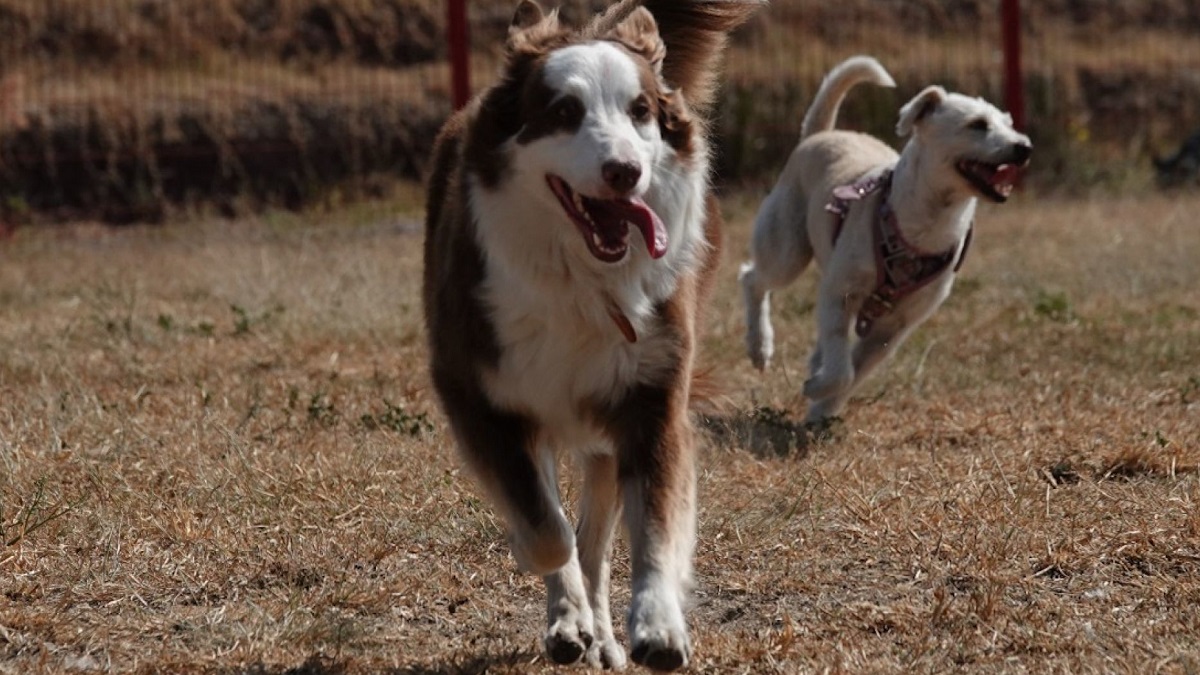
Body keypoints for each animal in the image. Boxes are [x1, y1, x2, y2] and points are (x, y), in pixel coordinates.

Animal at [422, 0, 758, 667]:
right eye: (563, 113)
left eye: (640, 111)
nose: (625, 171)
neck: (579, 278)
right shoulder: (478, 393)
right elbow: (547, 529)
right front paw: (554, 590)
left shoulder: (651, 399)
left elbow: (649, 529)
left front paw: (657, 626)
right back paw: (571, 622)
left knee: (597, 538)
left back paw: (599, 632)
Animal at [739, 56, 1032, 420]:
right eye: (978, 124)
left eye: (1008, 123)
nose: (1024, 147)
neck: (924, 227)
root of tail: (820, 133)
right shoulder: (841, 292)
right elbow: (842, 368)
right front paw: (816, 388)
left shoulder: (895, 327)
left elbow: (856, 370)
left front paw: (822, 408)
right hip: (787, 249)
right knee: (753, 279)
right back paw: (760, 345)